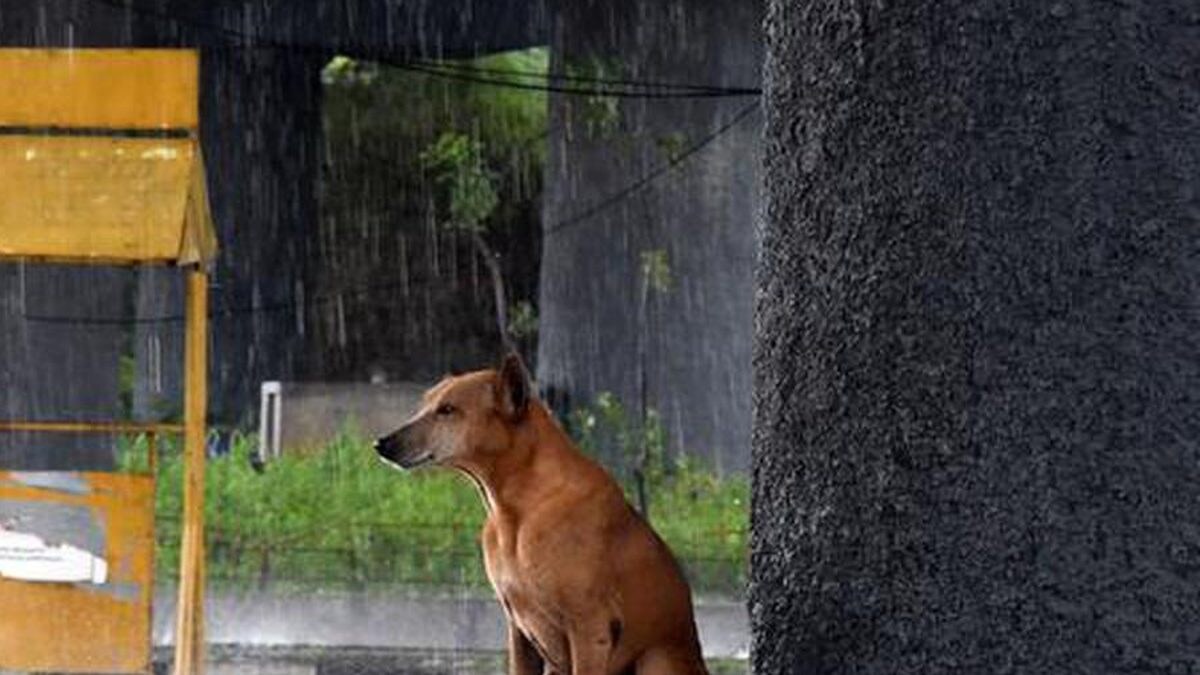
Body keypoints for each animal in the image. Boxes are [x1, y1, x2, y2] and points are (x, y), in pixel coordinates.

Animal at [374, 353, 705, 672]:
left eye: (447, 410)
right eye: (424, 404)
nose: (381, 443)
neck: (518, 510)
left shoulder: (589, 628)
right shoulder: (518, 631)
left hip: (654, 658)